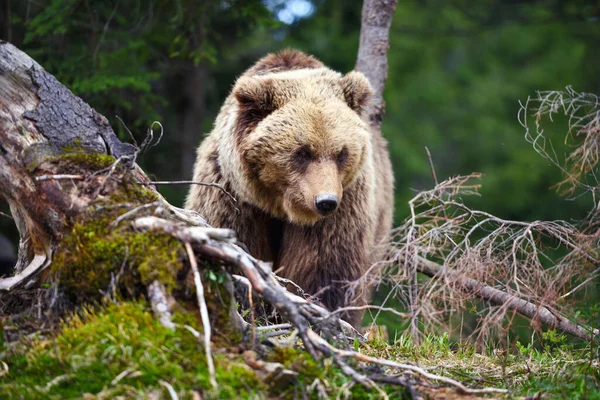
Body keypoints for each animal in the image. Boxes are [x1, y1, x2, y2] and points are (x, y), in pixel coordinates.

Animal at [186, 49, 394, 328]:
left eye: (341, 153)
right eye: (302, 152)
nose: (325, 201)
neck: (279, 205)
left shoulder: (344, 206)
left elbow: (325, 267)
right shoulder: (234, 198)